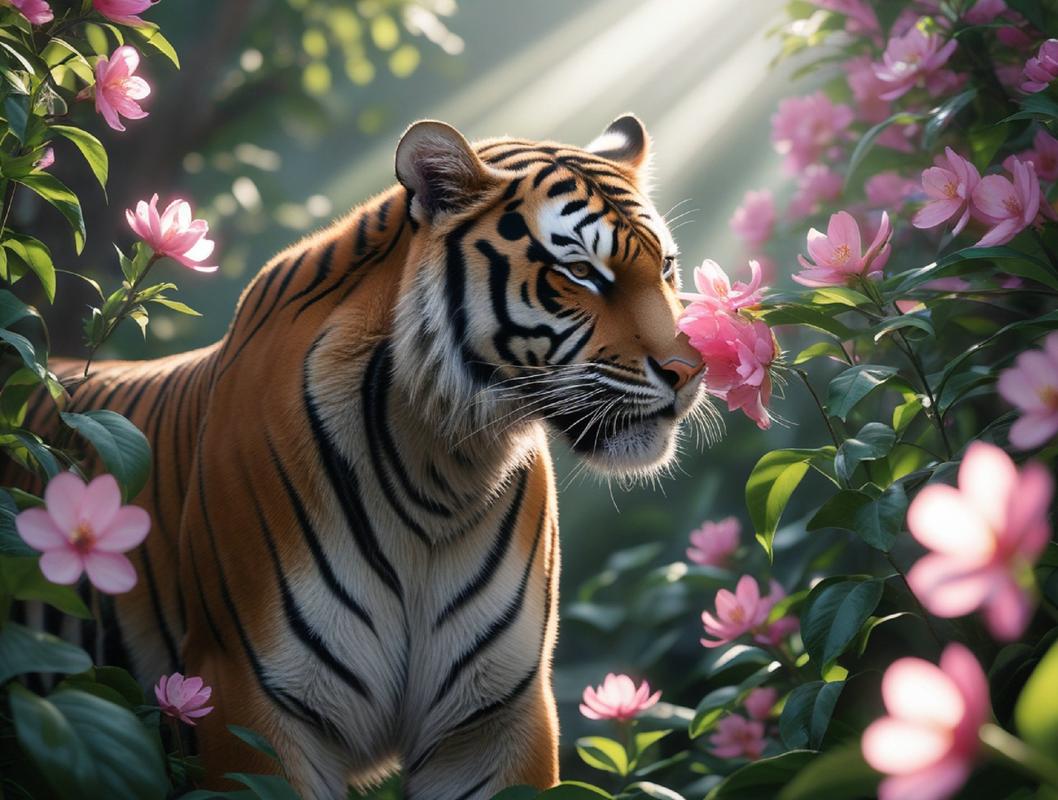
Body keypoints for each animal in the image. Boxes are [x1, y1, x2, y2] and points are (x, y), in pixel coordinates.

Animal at [22, 115, 710, 799]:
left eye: (667, 268)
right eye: (582, 272)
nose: (692, 370)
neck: (443, 465)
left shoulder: (493, 717)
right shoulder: (252, 702)